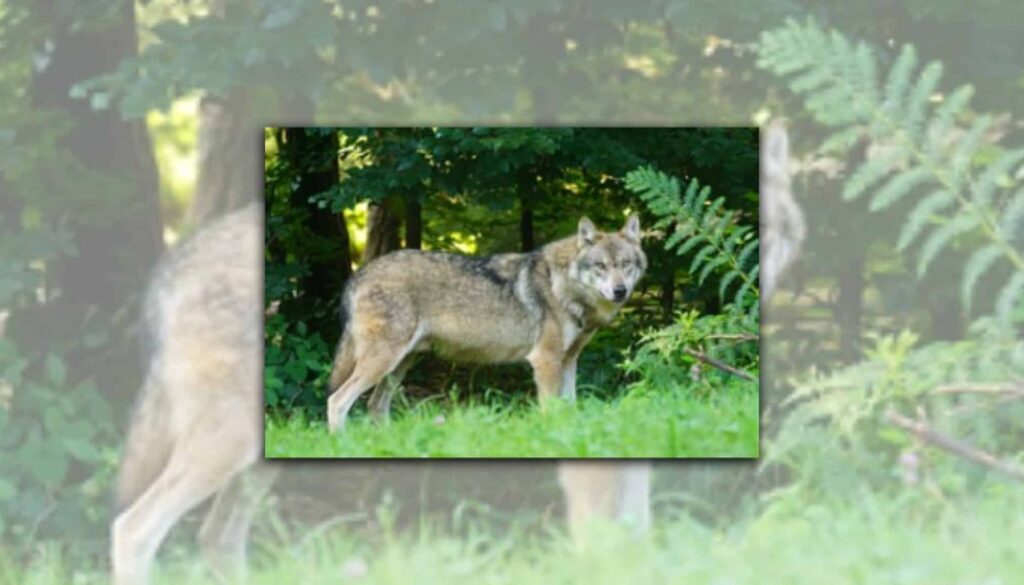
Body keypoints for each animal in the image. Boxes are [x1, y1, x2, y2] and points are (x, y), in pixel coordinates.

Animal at [326, 214, 648, 431]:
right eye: (601, 266)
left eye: (625, 265)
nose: (620, 290)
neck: (564, 286)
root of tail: (358, 274)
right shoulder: (545, 361)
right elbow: (551, 410)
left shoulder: (568, 360)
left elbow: (570, 407)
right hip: (384, 361)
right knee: (337, 401)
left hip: (400, 365)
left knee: (375, 405)